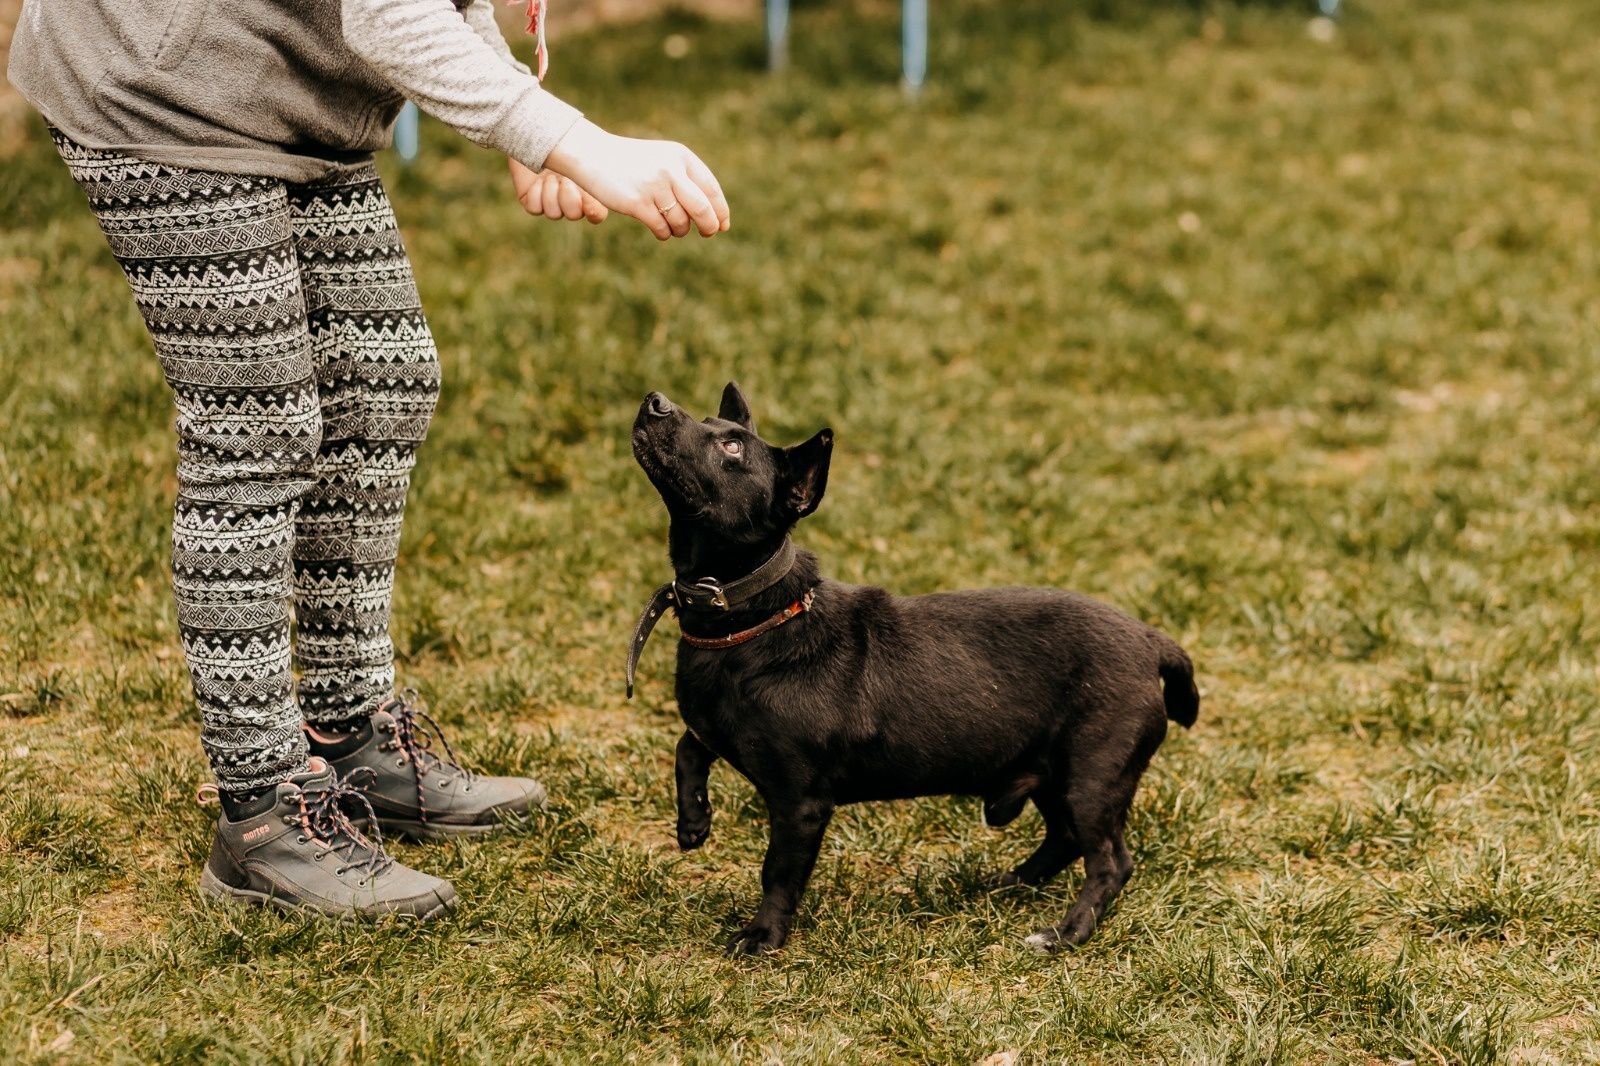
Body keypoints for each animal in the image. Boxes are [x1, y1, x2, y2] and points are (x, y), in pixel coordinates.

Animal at [630, 384, 1196, 953]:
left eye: (731, 448)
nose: (655, 400)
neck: (747, 618)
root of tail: (1153, 642)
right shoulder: (713, 729)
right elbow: (687, 748)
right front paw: (693, 821)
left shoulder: (800, 802)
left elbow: (779, 872)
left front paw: (763, 936)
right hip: (1050, 773)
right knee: (1064, 839)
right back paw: (1010, 884)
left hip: (1092, 778)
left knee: (1109, 862)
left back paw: (1065, 933)